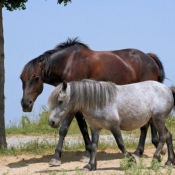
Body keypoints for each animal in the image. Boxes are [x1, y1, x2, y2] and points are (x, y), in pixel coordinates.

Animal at [19, 37, 165, 166]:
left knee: (146, 124)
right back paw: (146, 149)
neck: (68, 64)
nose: (26, 104)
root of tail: (149, 57)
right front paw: (87, 153)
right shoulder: (77, 105)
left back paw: (144, 150)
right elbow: (83, 128)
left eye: (36, 77)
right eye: (21, 78)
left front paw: (56, 157)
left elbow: (63, 129)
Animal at [47, 79, 175, 171]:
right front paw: (90, 166)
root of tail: (168, 89)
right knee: (168, 135)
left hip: (158, 119)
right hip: (155, 120)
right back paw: (168, 162)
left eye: (60, 101)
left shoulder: (114, 126)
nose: (51, 122)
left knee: (163, 137)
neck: (98, 102)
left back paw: (155, 159)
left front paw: (131, 161)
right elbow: (94, 147)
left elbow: (121, 144)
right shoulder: (95, 128)